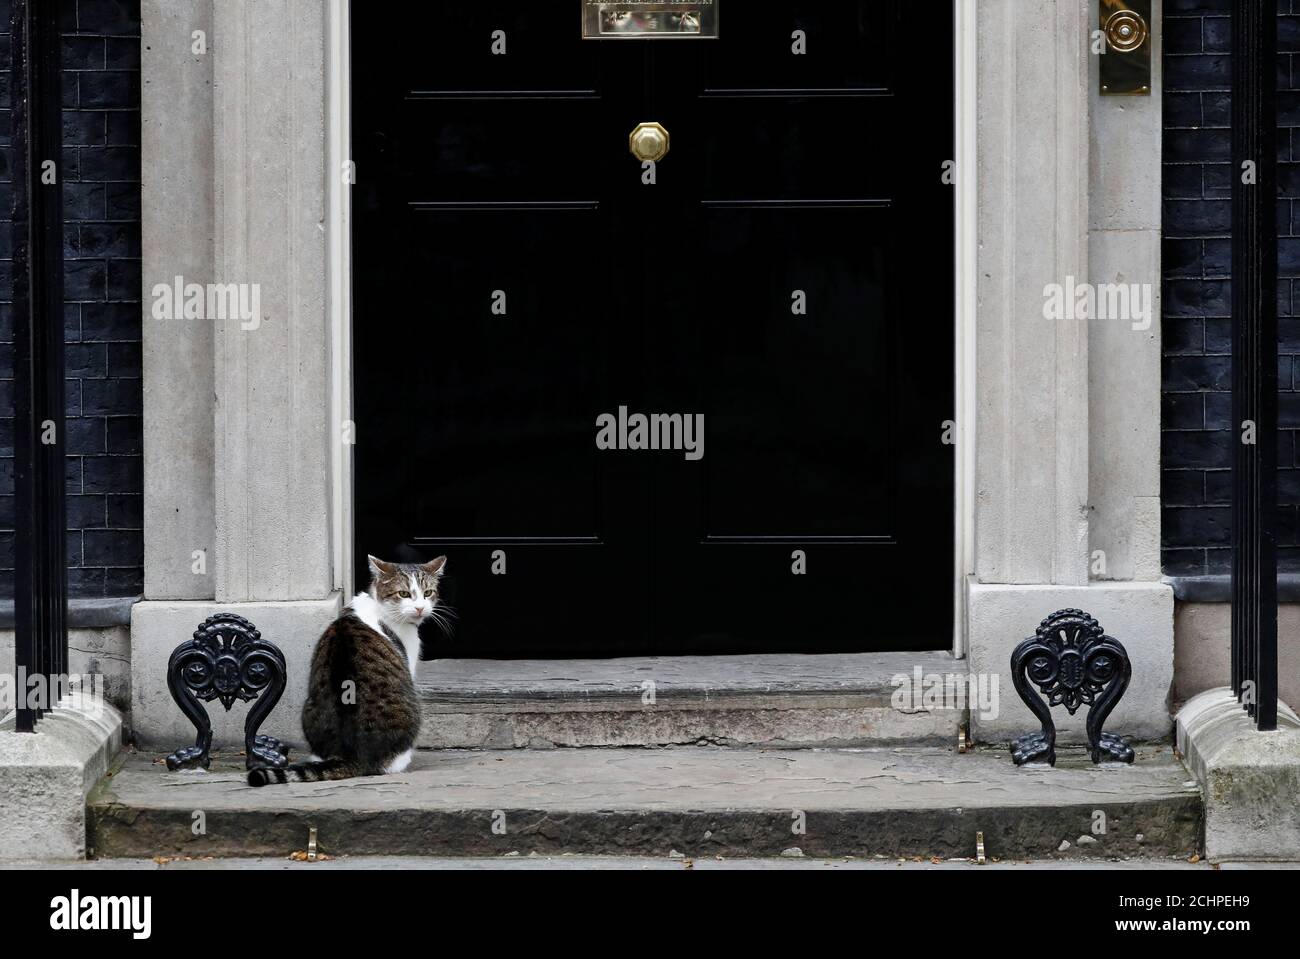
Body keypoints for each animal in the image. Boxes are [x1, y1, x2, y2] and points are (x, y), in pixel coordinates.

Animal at [246, 553, 447, 784]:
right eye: (404, 594)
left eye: (428, 593)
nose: (420, 608)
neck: (379, 606)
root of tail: (352, 755)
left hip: (308, 708)